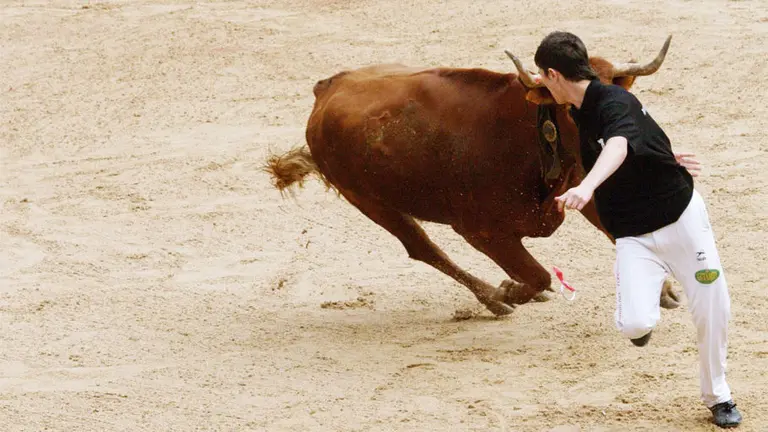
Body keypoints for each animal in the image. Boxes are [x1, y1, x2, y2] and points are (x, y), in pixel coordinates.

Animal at [265, 36, 681, 316]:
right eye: (570, 106)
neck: (528, 137)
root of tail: (327, 88)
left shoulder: (585, 182)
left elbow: (614, 228)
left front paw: (661, 290)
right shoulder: (483, 232)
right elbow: (539, 276)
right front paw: (509, 290)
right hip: (368, 200)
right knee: (422, 248)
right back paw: (494, 300)